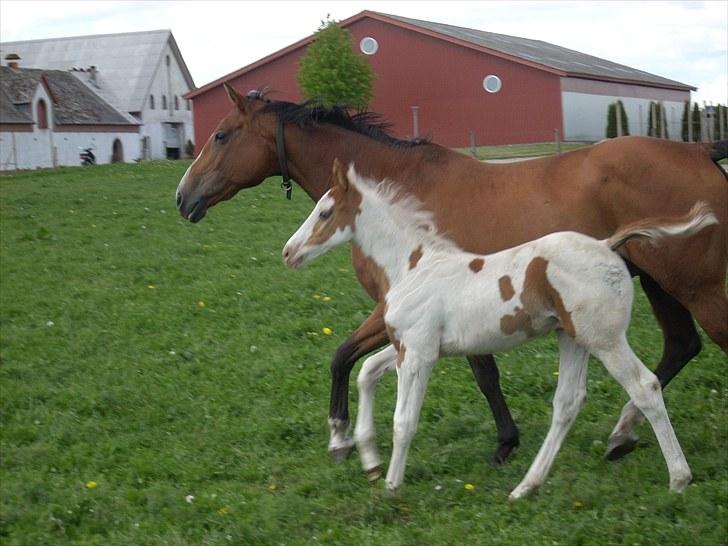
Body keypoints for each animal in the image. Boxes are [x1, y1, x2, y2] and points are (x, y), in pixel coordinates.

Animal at [176, 85, 728, 464]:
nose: (183, 197)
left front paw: (340, 438)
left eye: (221, 135)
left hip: (698, 288)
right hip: (659, 284)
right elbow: (377, 361)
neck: (398, 199)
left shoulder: (402, 307)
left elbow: (347, 358)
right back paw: (621, 435)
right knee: (681, 347)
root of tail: (699, 150)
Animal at [282, 158, 712, 498]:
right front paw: (368, 458)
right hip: (572, 338)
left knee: (645, 386)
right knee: (568, 402)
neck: (412, 266)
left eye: (325, 213)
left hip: (605, 339)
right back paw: (525, 487)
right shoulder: (412, 347)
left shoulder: (419, 354)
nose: (288, 252)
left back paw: (678, 478)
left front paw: (390, 486)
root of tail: (608, 243)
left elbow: (403, 421)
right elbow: (368, 371)